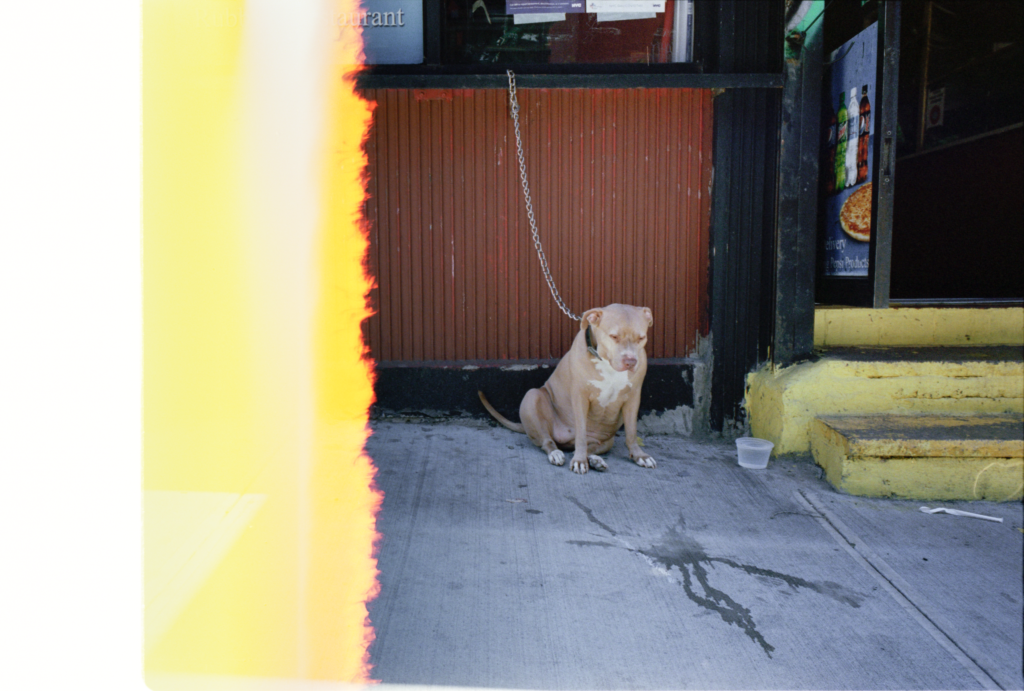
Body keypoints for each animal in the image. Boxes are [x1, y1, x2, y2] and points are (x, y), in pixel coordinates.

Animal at [479, 303, 656, 474]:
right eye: (614, 336)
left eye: (642, 338)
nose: (631, 361)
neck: (605, 361)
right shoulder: (580, 397)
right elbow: (581, 434)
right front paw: (579, 461)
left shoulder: (633, 398)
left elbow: (631, 432)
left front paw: (640, 456)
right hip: (532, 397)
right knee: (547, 441)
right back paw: (556, 453)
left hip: (606, 442)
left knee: (591, 448)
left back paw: (595, 461)